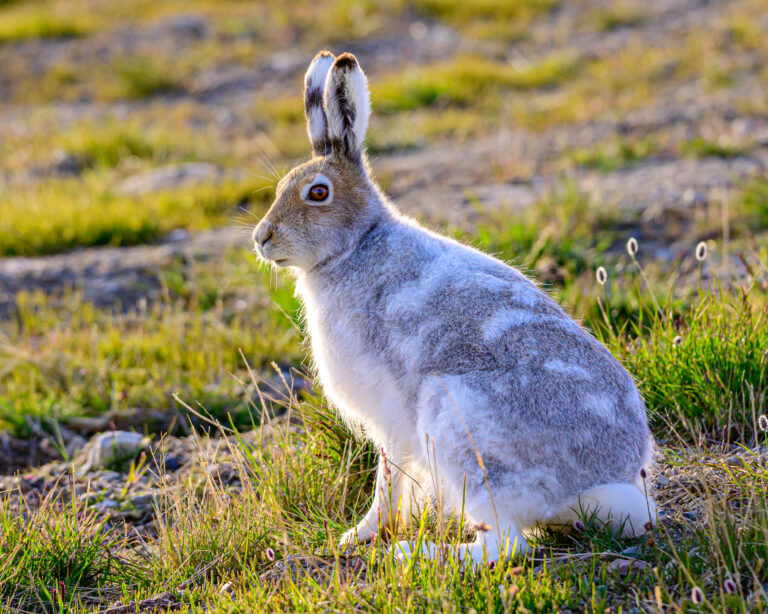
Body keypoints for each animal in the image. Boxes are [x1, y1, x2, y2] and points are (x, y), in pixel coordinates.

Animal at [252, 50, 656, 565]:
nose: (262, 237)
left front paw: (360, 535)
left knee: (506, 545)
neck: (356, 245)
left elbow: (388, 478)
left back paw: (410, 553)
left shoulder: (390, 415)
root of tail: (593, 485)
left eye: (317, 193)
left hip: (460, 428)